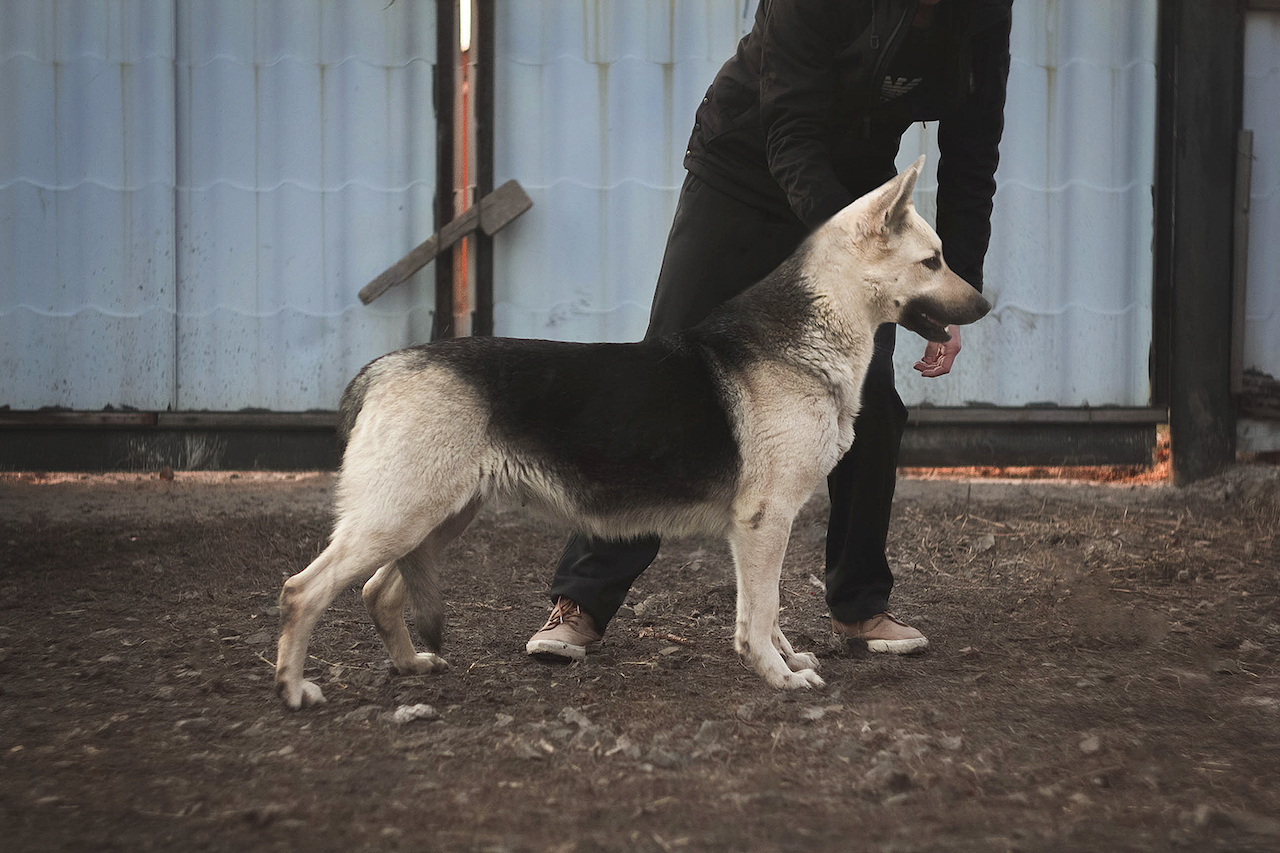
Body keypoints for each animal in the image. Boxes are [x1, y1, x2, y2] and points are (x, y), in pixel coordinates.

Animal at [272, 156, 988, 706]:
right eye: (933, 261)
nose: (985, 305)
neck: (811, 334)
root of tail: (385, 366)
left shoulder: (761, 530)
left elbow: (766, 609)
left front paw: (783, 661)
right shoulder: (765, 522)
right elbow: (760, 613)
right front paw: (777, 677)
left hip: (437, 519)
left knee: (379, 591)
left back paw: (409, 666)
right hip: (401, 519)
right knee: (303, 591)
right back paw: (295, 689)